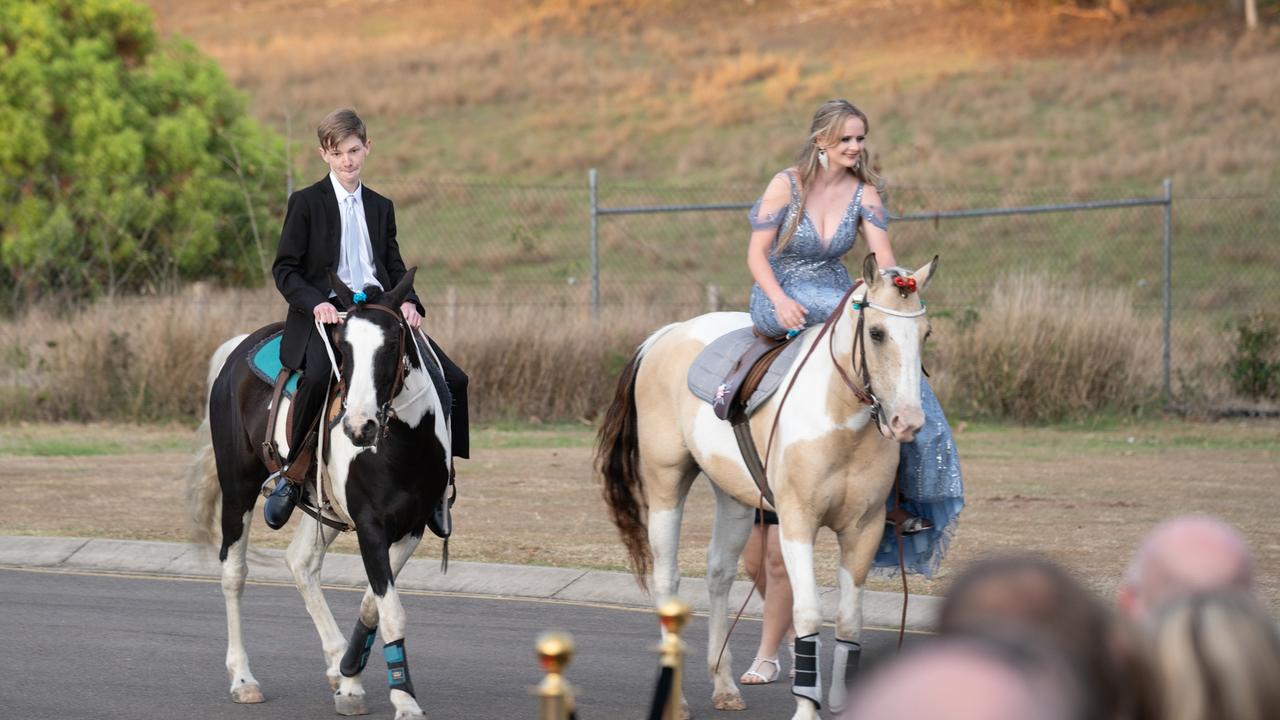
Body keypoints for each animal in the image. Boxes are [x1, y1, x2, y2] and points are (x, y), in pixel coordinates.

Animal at [186, 270, 453, 717]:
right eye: (342, 349)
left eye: (393, 343)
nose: (359, 427)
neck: (402, 442)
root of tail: (237, 349)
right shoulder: (371, 525)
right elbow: (391, 612)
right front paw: (403, 698)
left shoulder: (412, 526)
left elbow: (373, 604)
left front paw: (350, 674)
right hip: (238, 489)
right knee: (234, 574)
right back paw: (243, 679)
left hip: (325, 507)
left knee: (301, 563)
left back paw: (335, 666)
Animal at [593, 253, 936, 717]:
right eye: (877, 333)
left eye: (925, 333)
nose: (907, 422)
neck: (841, 421)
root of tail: (666, 335)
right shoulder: (797, 523)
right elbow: (808, 613)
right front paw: (807, 708)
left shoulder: (863, 529)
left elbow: (849, 622)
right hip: (666, 483)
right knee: (668, 581)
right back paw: (677, 700)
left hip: (735, 500)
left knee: (719, 574)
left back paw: (723, 685)